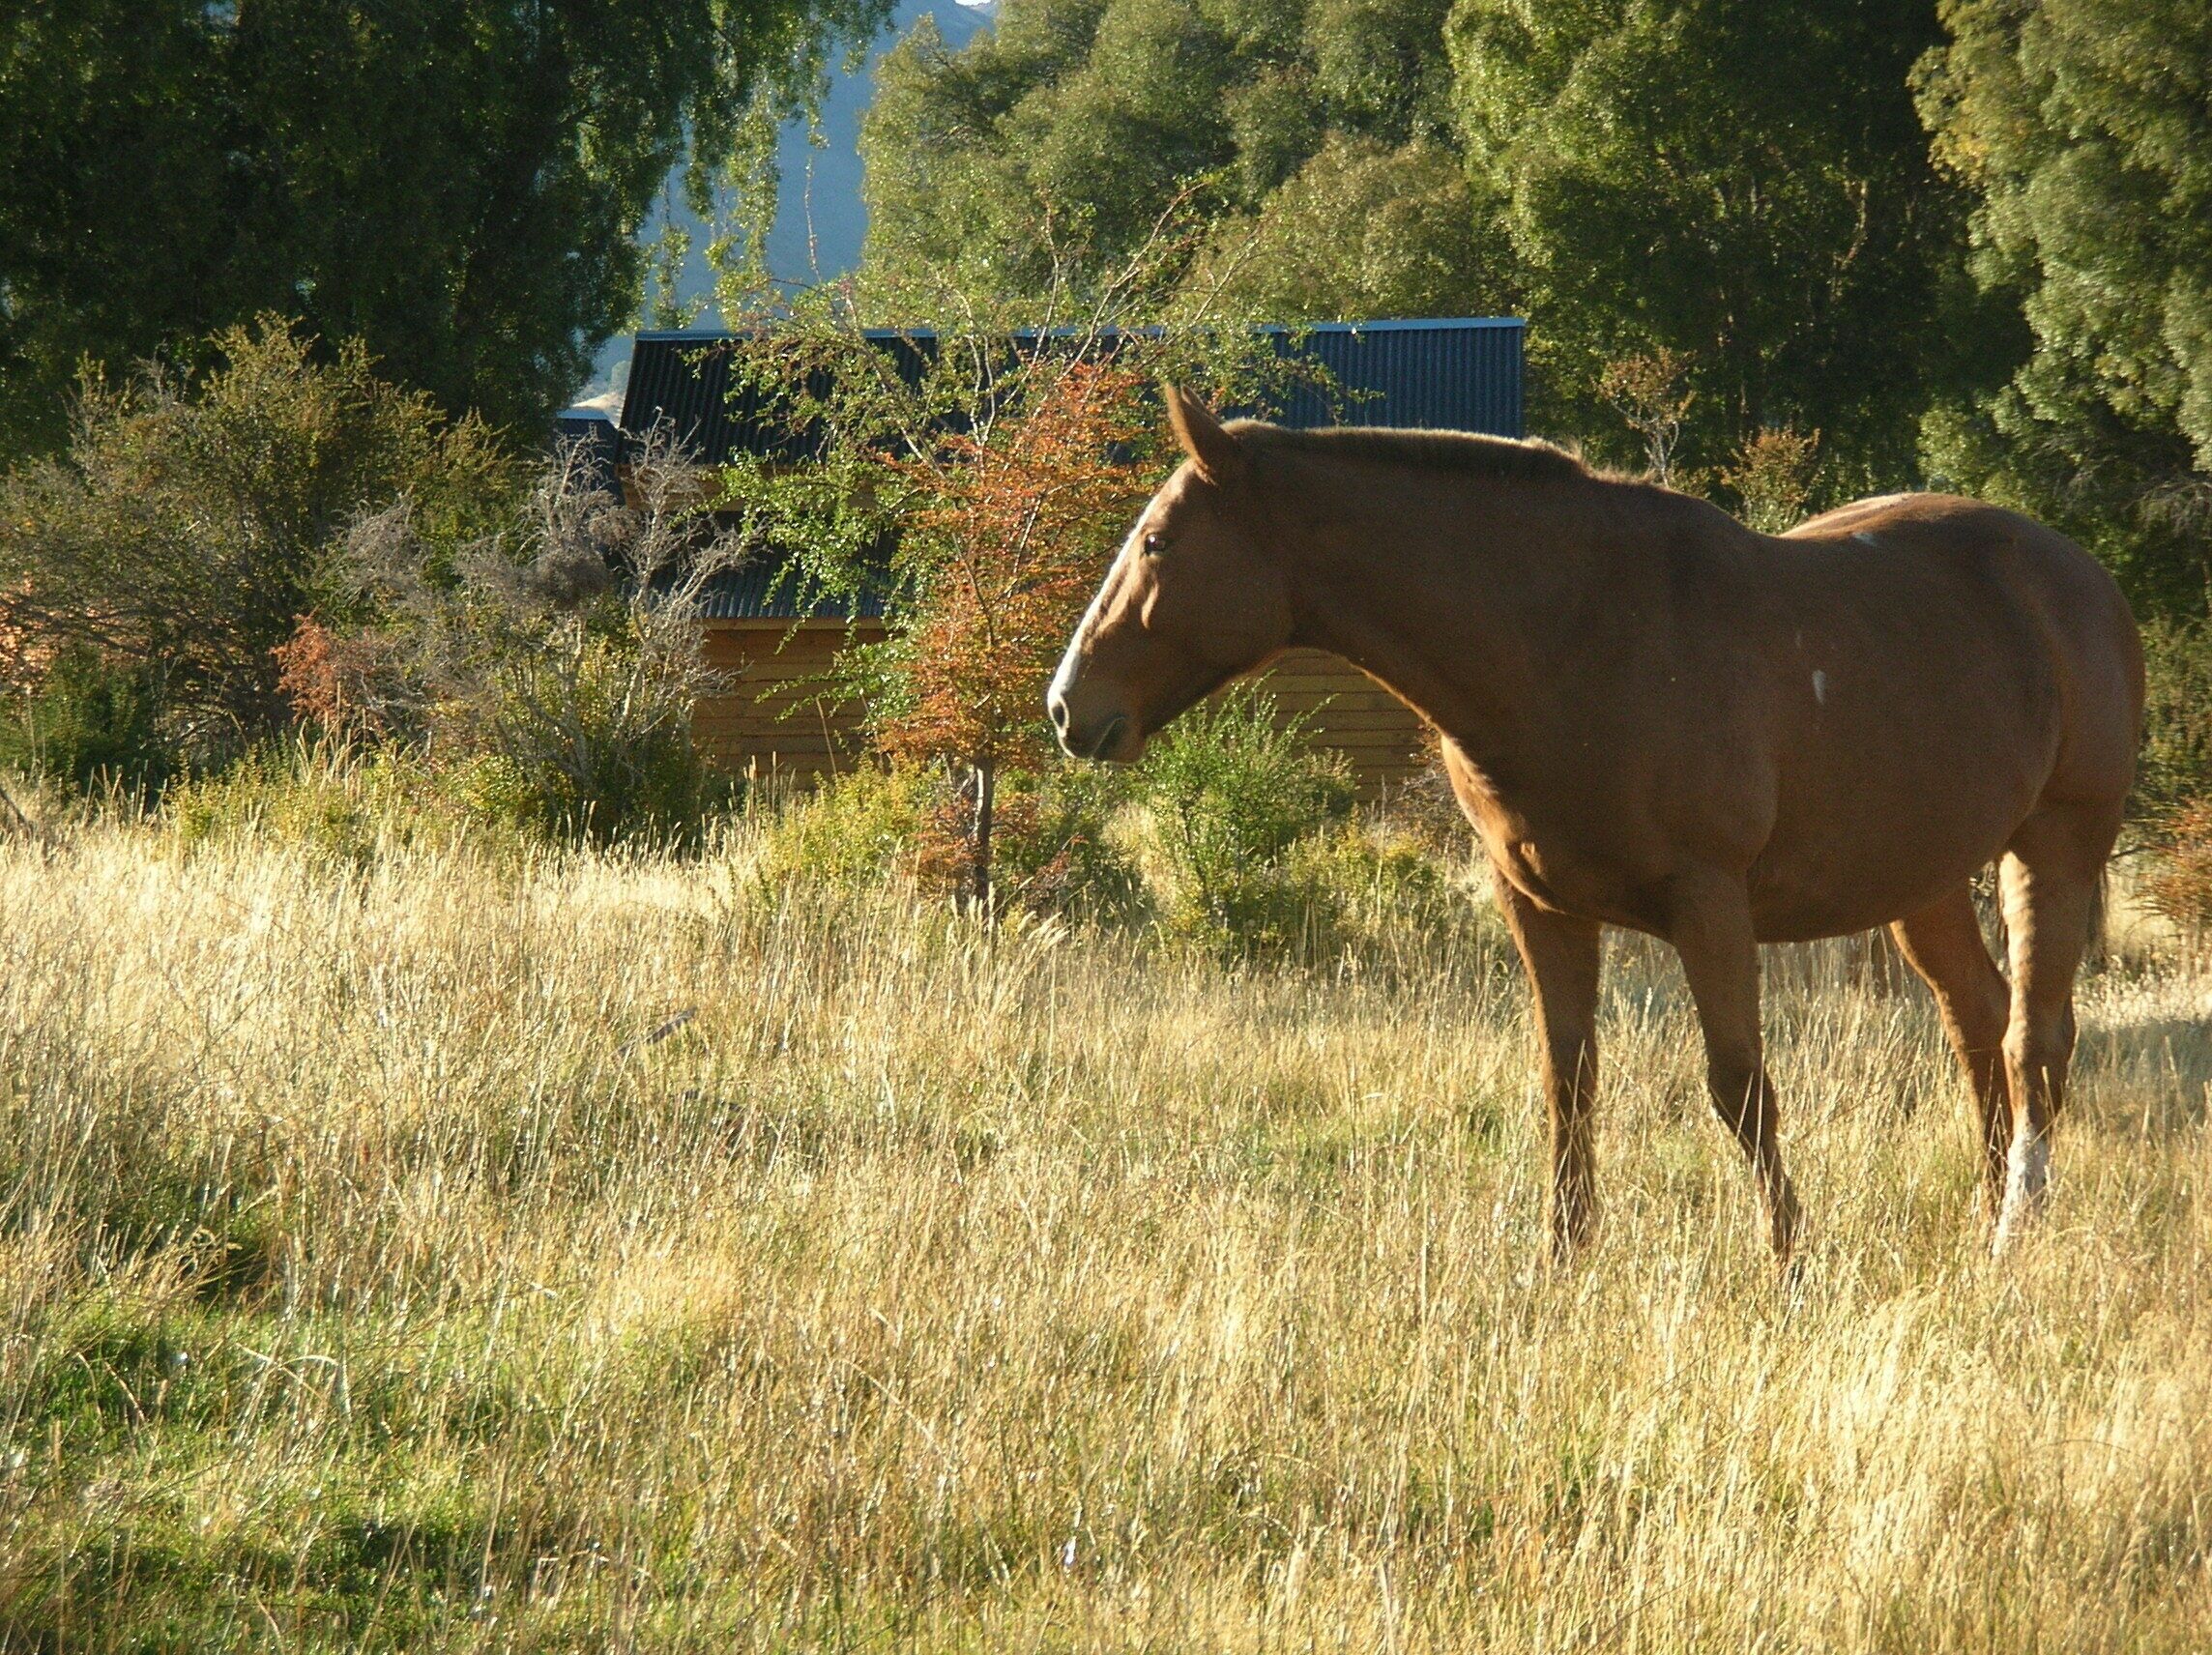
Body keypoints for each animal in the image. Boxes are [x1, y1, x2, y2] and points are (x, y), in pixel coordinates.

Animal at [1048, 387, 2142, 1266]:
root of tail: (2081, 577)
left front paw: (1789, 1259)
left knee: (2033, 1041)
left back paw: (2013, 1236)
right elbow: (1566, 1082)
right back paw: (1985, 1214)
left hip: (2054, 845)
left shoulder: (1709, 902)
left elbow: (1738, 1084)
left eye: (1156, 542)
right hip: (1923, 879)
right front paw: (1563, 1262)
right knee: (1976, 1022)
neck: (1567, 638)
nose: (1067, 707)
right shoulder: (1539, 904)